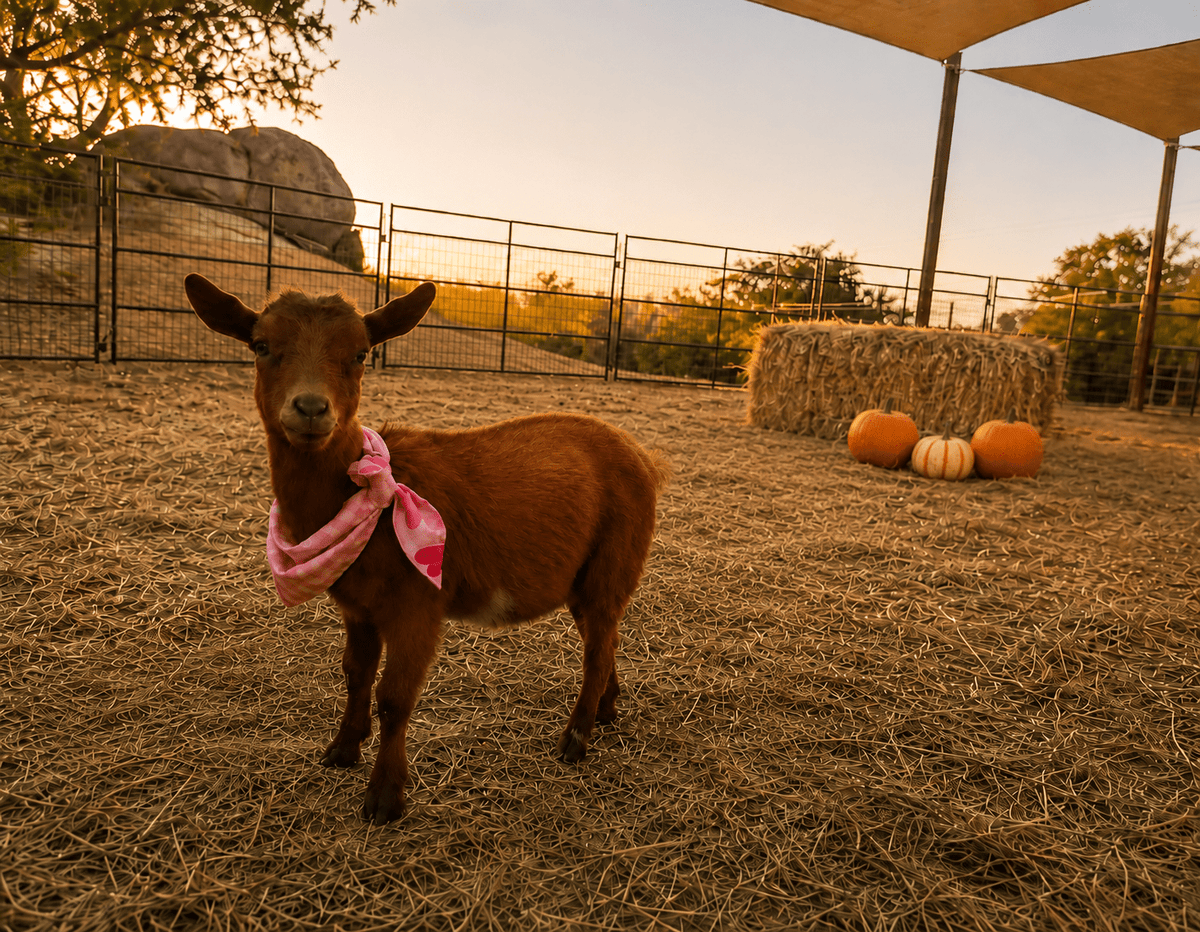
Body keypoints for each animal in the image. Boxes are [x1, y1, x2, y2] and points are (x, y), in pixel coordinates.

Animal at [183, 274, 670, 824]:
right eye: (260, 346)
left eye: (362, 353)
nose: (310, 409)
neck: (362, 493)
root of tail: (645, 458)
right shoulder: (358, 607)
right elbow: (355, 674)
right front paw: (341, 749)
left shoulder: (418, 602)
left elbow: (395, 696)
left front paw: (384, 798)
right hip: (585, 578)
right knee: (605, 639)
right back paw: (606, 712)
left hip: (616, 557)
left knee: (597, 646)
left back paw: (576, 738)